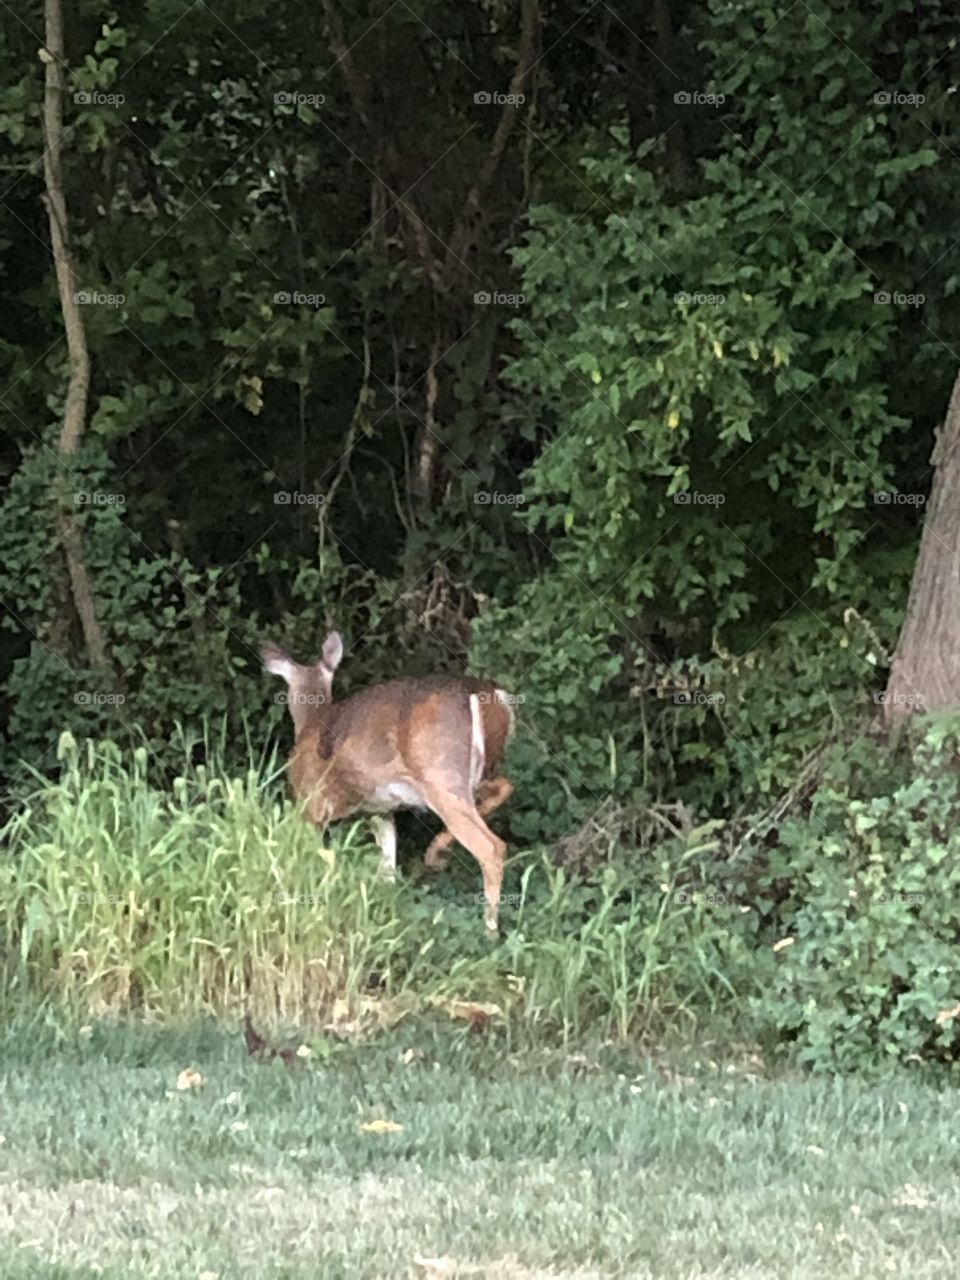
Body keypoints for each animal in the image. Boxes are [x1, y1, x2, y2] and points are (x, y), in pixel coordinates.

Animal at [262, 631, 516, 936]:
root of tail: (483, 695)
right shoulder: (380, 809)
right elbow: (388, 865)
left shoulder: (311, 803)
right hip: (479, 774)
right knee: (505, 787)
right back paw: (435, 853)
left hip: (441, 774)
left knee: (490, 847)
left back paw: (489, 929)